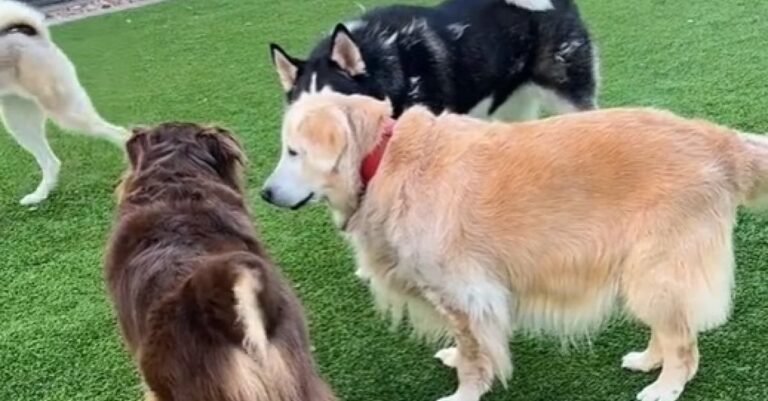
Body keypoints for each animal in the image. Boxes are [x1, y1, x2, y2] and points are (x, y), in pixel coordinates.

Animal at [0, 0, 126, 205]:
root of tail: (36, 37)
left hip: (66, 111)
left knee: (121, 134)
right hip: (19, 120)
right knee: (51, 162)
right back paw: (39, 196)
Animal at [262, 92, 768, 400]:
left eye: (293, 151)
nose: (265, 194)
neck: (384, 160)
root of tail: (717, 138)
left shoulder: (465, 292)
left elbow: (473, 355)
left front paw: (465, 391)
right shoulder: (466, 297)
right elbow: (468, 343)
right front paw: (456, 357)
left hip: (657, 271)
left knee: (685, 344)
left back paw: (666, 386)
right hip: (648, 274)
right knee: (670, 329)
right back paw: (648, 361)